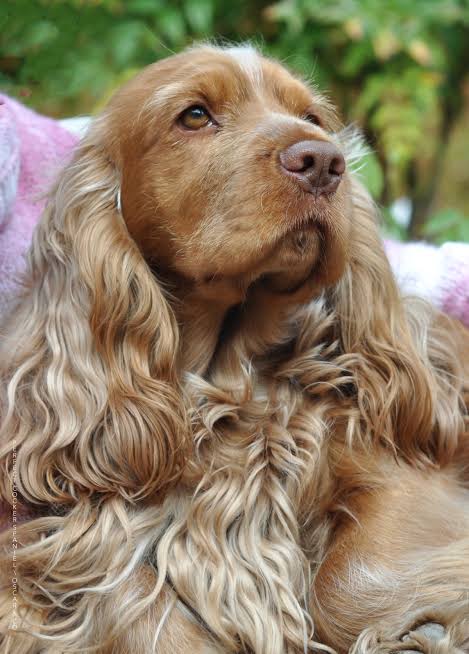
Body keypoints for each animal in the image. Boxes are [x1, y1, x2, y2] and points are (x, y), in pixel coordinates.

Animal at [0, 43, 468, 652]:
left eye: (313, 118)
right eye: (195, 115)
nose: (324, 162)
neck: (227, 378)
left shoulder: (406, 480)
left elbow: (343, 582)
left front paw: (429, 625)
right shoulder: (87, 531)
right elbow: (130, 600)